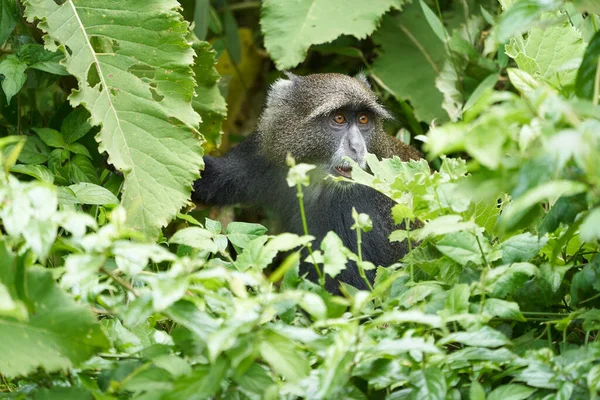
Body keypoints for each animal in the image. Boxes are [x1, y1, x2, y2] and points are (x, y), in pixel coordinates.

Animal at [193, 73, 422, 292]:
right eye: (339, 118)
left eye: (364, 119)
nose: (357, 147)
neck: (314, 177)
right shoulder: (263, 154)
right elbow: (213, 178)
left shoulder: (356, 206)